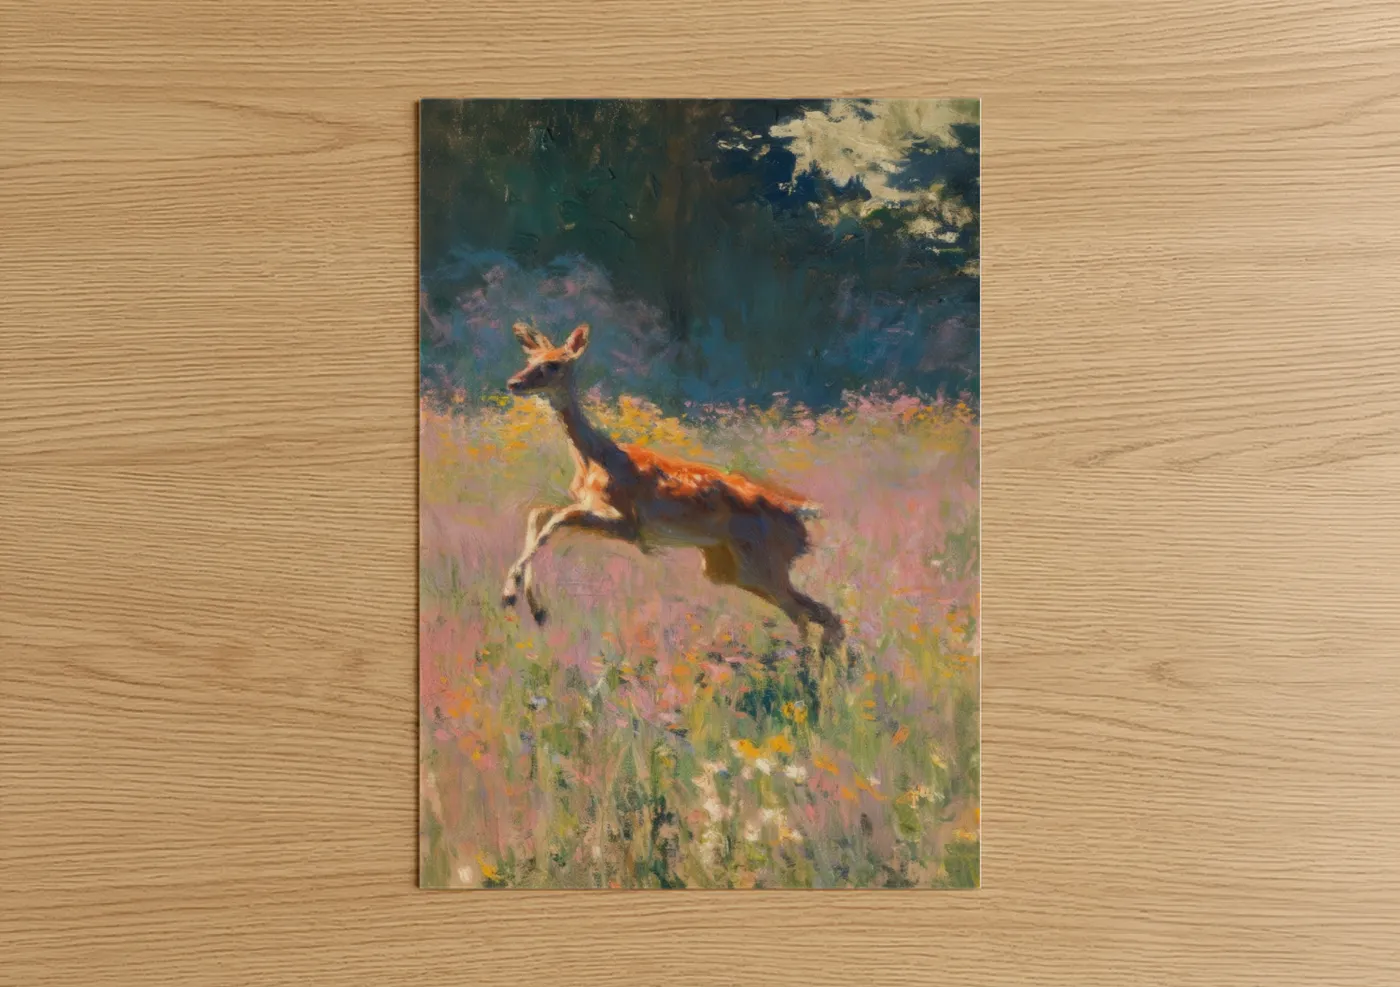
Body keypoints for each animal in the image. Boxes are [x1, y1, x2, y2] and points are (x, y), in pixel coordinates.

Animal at [500, 321, 845, 655]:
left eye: (554, 364)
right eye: (530, 360)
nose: (514, 383)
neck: (594, 459)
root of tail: (800, 512)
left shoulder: (629, 524)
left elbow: (555, 518)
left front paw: (512, 595)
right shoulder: (593, 509)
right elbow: (539, 513)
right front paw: (532, 605)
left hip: (763, 564)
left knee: (809, 617)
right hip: (730, 570)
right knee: (824, 617)